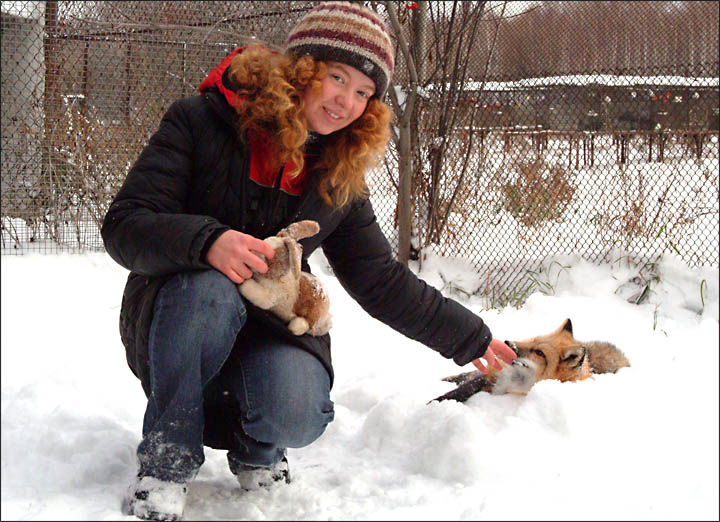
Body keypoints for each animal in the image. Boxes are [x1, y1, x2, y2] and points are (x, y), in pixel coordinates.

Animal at [434, 316, 632, 402]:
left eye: (539, 353)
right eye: (533, 340)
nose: (508, 343)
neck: (517, 380)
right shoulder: (491, 377)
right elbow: (460, 391)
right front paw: (436, 402)